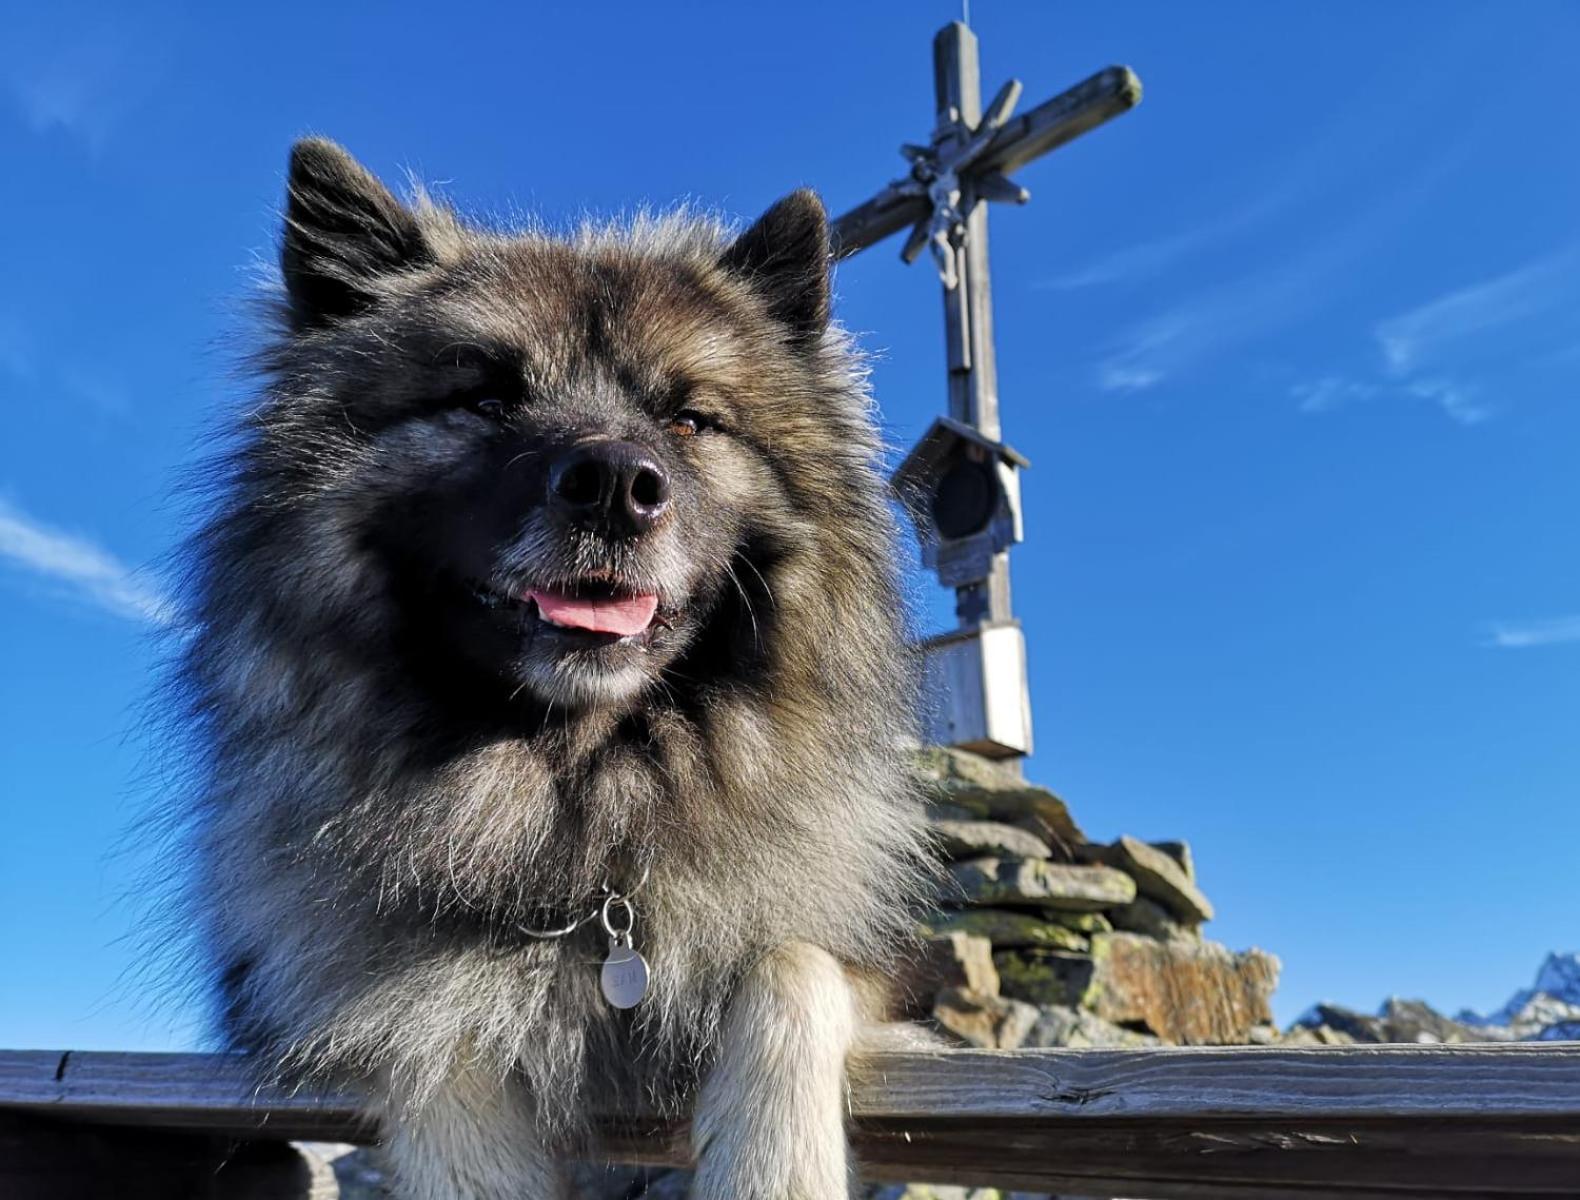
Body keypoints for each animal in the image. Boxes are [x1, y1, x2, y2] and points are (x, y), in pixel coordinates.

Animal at [177, 140, 929, 1200]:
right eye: (486, 398)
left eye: (690, 419)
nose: (616, 486)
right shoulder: (353, 994)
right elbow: (430, 1029)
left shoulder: (856, 955)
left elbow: (789, 962)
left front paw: (773, 1170)